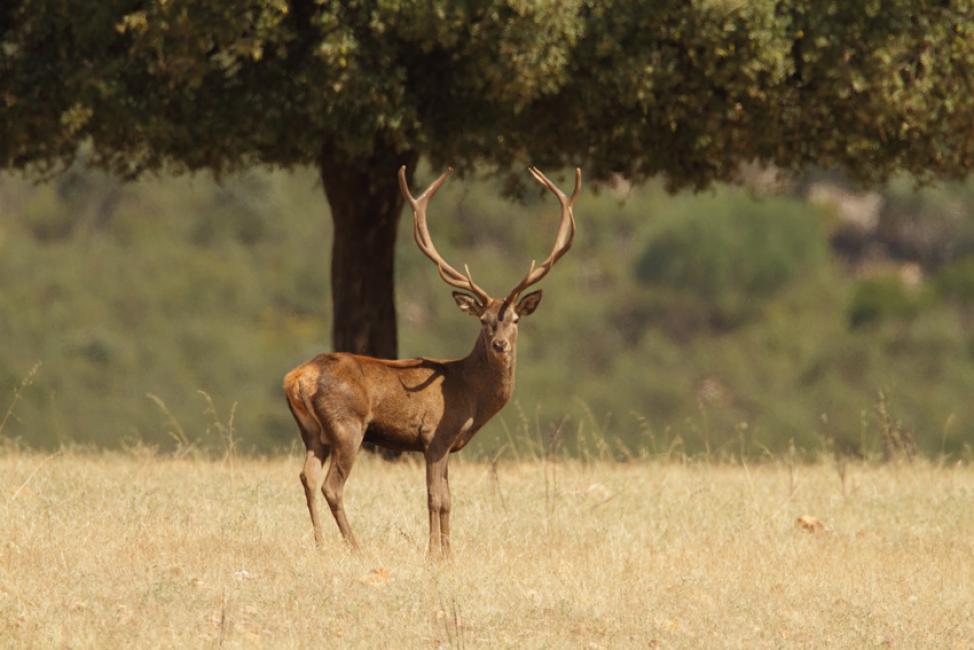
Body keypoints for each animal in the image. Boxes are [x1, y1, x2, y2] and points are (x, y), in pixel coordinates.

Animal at [286, 165, 580, 556]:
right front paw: (434, 555)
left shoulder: (446, 446)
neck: (471, 396)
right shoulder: (436, 435)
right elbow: (435, 498)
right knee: (331, 485)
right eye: (484, 320)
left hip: (311, 431)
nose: (500, 344)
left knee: (306, 476)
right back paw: (356, 546)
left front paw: (448, 552)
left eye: (515, 319)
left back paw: (320, 545)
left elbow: (448, 499)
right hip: (346, 426)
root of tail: (297, 379)